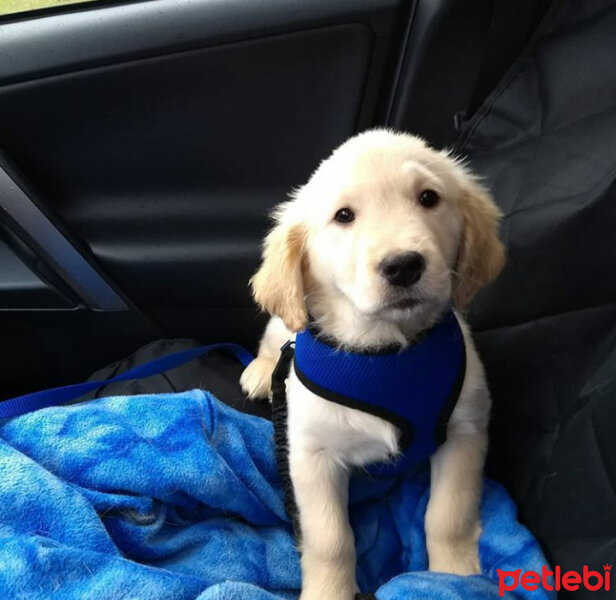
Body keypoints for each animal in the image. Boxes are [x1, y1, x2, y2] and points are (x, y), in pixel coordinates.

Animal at [238, 130, 502, 600]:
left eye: (429, 198)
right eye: (344, 216)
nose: (404, 265)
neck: (384, 352)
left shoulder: (465, 430)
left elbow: (448, 514)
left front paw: (453, 575)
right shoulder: (311, 455)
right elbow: (330, 540)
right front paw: (327, 592)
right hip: (284, 325)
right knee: (272, 337)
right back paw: (260, 371)